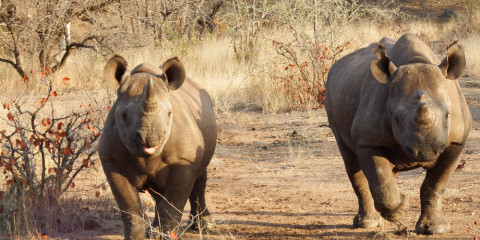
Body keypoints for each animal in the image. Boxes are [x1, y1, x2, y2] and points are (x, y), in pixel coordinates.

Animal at [99, 55, 216, 239]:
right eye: (124, 116)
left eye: (169, 114)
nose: (150, 137)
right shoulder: (111, 160)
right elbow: (129, 208)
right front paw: (136, 237)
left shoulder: (185, 160)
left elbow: (172, 206)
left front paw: (166, 236)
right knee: (157, 194)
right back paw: (152, 231)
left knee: (200, 177)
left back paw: (203, 227)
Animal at [324, 33, 470, 234]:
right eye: (396, 119)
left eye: (448, 115)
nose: (426, 151)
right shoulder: (367, 141)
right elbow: (380, 181)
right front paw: (401, 208)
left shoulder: (456, 142)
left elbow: (435, 185)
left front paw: (436, 229)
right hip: (331, 95)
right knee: (351, 161)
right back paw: (368, 223)